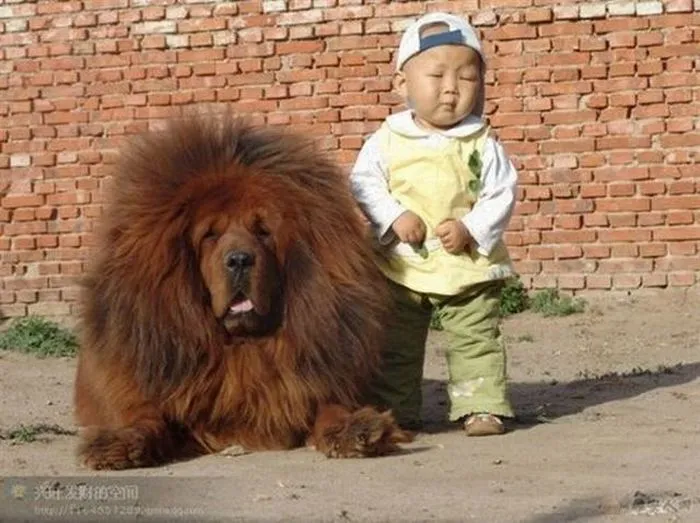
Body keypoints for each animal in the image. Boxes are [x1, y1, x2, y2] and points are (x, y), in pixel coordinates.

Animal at [74, 114, 411, 470]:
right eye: (210, 235)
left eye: (263, 231)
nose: (239, 260)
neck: (242, 348)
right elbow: (145, 417)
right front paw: (119, 444)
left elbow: (330, 407)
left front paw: (356, 429)